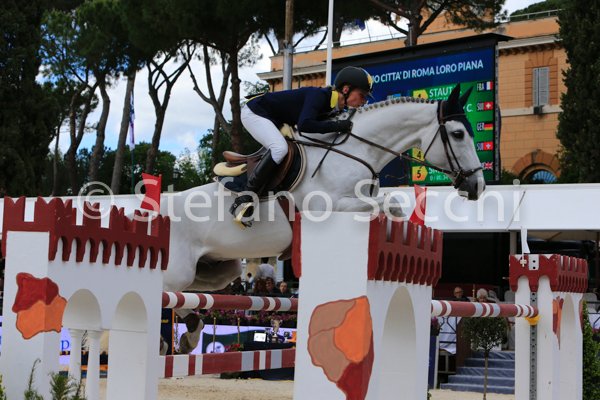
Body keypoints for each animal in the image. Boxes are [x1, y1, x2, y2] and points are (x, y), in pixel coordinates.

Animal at [161, 84, 485, 351]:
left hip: (218, 270)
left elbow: (389, 207)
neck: (354, 152)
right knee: (168, 291)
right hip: (180, 268)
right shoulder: (330, 207)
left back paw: (188, 334)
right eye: (458, 134)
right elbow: (388, 203)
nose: (477, 186)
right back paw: (183, 336)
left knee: (191, 291)